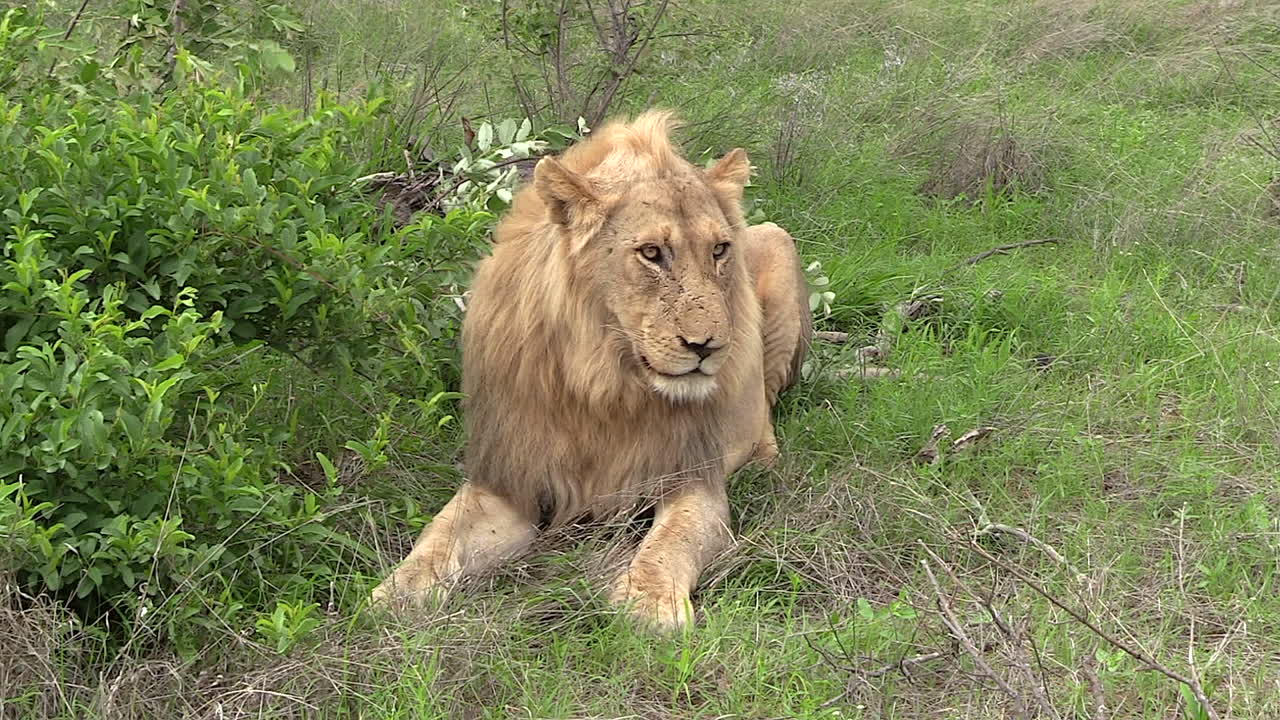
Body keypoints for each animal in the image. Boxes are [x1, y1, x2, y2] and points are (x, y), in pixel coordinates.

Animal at [371, 110, 812, 628]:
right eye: (651, 253)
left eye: (719, 250)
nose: (708, 346)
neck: (603, 382)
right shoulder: (509, 479)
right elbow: (437, 537)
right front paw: (391, 598)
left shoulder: (692, 477)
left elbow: (670, 543)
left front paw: (648, 606)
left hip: (778, 243)